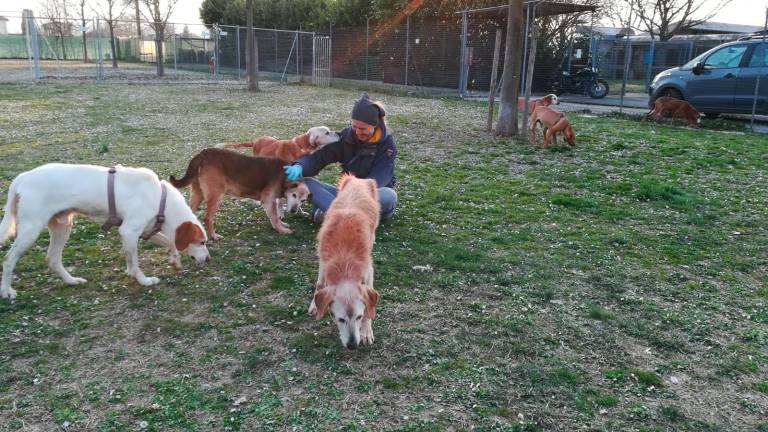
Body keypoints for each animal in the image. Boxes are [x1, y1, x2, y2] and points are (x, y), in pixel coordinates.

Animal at [0, 164, 210, 298]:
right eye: (202, 242)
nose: (208, 259)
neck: (160, 199)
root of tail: (23, 177)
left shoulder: (140, 232)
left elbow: (166, 243)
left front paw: (174, 260)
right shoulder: (129, 231)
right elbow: (136, 262)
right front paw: (143, 280)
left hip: (63, 226)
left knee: (52, 259)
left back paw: (71, 281)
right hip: (31, 230)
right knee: (9, 260)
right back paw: (6, 291)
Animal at [170, 147, 308, 238]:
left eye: (303, 200)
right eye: (294, 195)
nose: (294, 211)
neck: (285, 176)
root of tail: (203, 153)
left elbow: (277, 216)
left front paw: (283, 224)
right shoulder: (268, 200)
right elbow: (274, 217)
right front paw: (281, 230)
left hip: (198, 193)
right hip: (216, 196)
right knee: (207, 218)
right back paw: (214, 236)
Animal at [308, 174, 380, 350]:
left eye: (359, 317)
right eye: (339, 319)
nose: (352, 345)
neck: (344, 260)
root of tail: (359, 180)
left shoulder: (368, 273)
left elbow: (369, 304)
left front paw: (366, 331)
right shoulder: (324, 261)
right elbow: (320, 285)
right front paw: (314, 304)